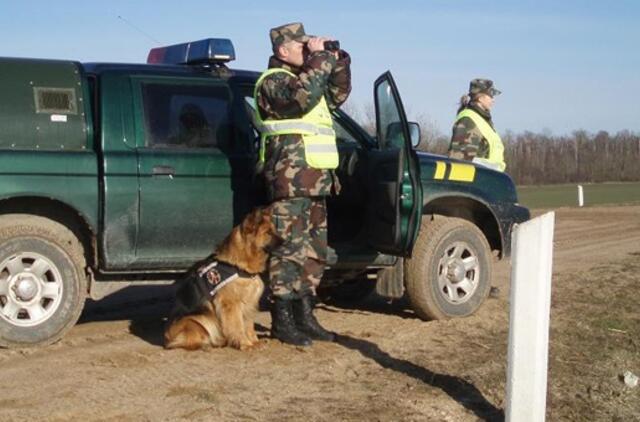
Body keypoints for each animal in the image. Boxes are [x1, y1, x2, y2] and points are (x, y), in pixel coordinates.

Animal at [162, 207, 276, 350]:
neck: (238, 266)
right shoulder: (231, 305)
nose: (286, 242)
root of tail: (166, 339)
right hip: (196, 322)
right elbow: (237, 326)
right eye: (268, 233)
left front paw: (254, 342)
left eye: (274, 231)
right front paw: (245, 344)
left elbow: (249, 325)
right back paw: (209, 344)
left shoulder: (249, 303)